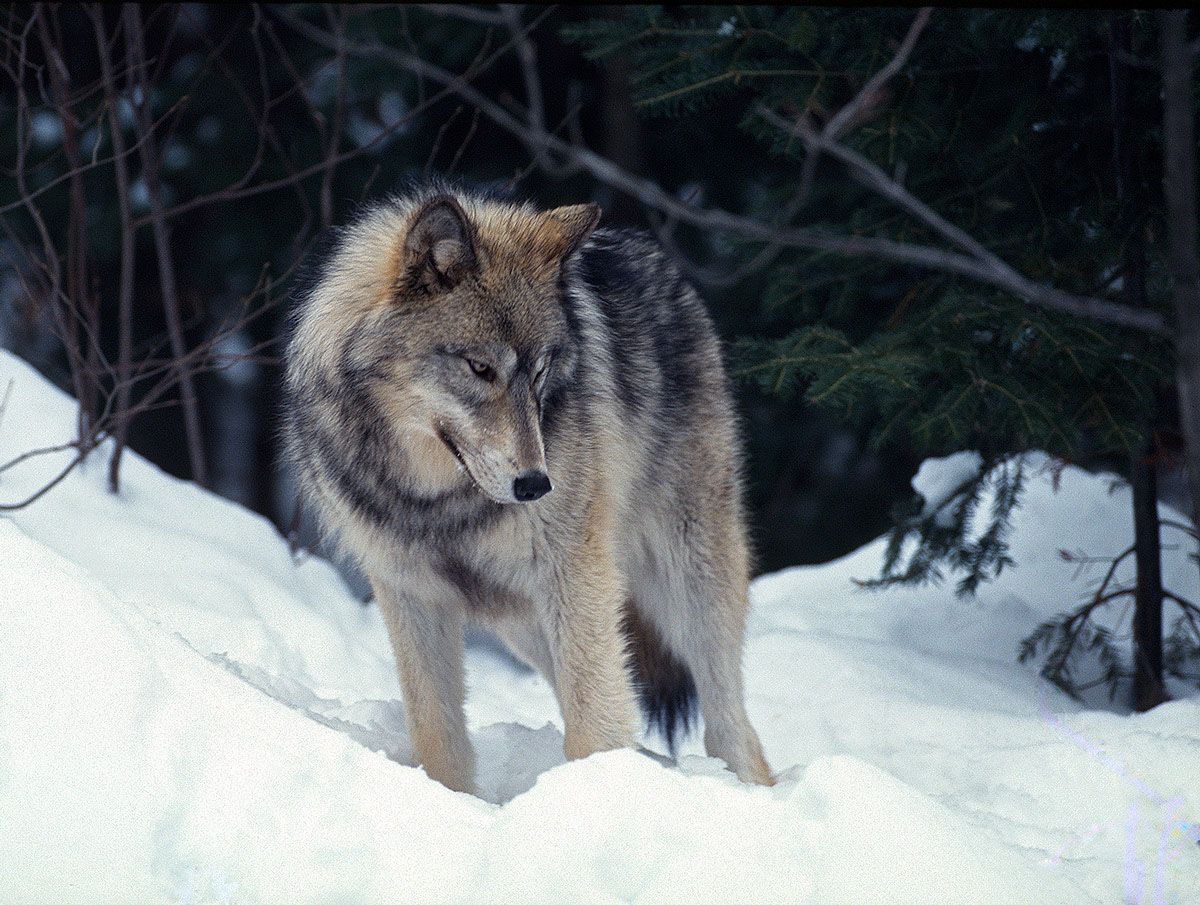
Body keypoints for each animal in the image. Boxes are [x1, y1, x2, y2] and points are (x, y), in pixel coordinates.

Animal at [282, 183, 772, 793]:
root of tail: (651, 256)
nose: (537, 484)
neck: (434, 500)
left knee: (731, 724)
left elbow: (594, 721)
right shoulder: (409, 592)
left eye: (539, 373)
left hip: (683, 579)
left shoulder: (574, 573)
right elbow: (437, 733)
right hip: (524, 620)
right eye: (479, 367)